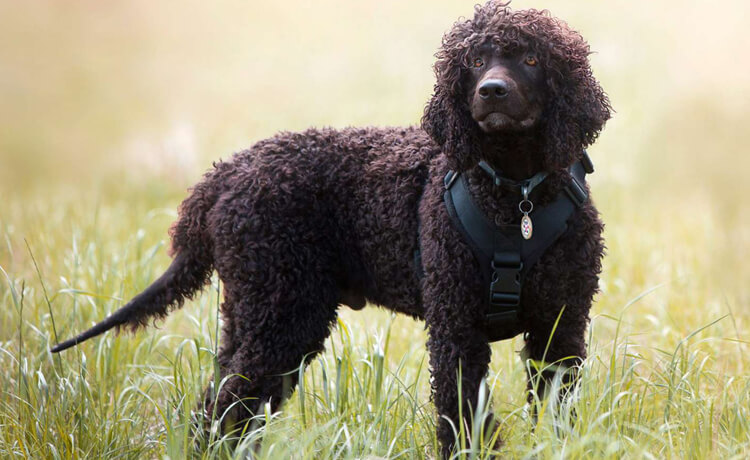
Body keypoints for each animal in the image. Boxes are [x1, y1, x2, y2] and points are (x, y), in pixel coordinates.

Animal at [53, 1, 612, 456]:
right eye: (474, 61)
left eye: (532, 60)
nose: (491, 90)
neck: (515, 193)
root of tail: (226, 172)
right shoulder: (456, 328)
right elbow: (463, 419)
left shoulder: (560, 329)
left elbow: (559, 415)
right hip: (282, 311)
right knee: (227, 407)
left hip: (254, 314)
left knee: (224, 405)